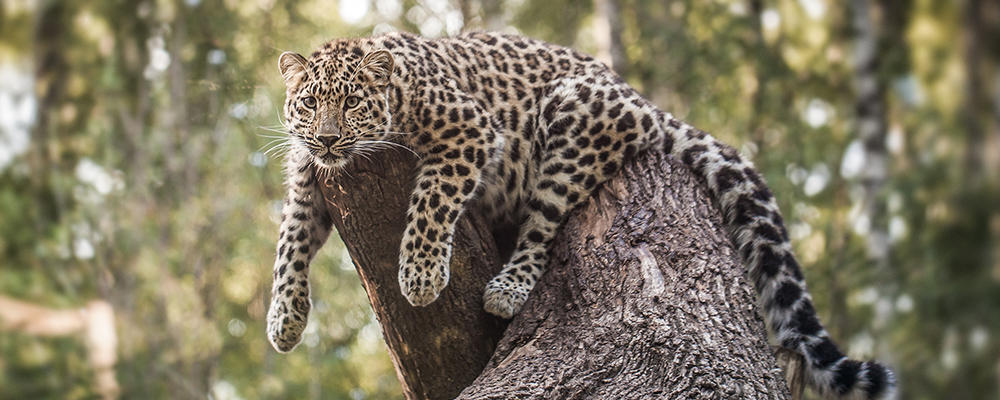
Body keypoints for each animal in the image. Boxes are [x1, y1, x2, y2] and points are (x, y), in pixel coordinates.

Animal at [264, 29, 900, 398]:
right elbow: (289, 245)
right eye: (310, 103)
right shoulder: (308, 181)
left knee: (543, 225)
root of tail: (644, 101)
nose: (328, 139)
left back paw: (508, 288)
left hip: (572, 118)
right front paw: (284, 321)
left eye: (352, 102)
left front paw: (420, 276)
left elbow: (432, 198)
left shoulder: (471, 133)